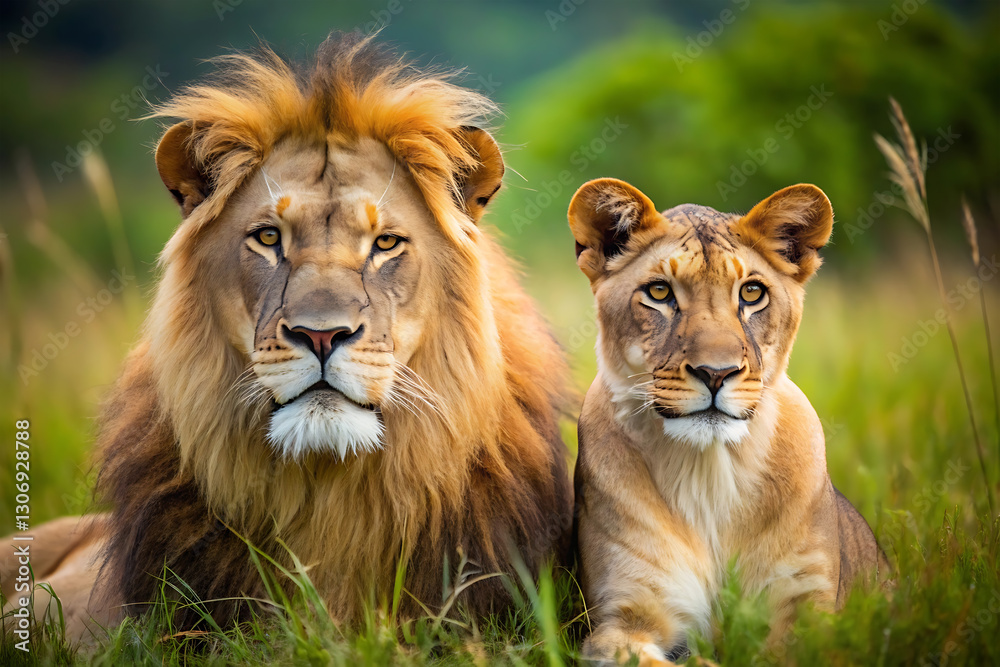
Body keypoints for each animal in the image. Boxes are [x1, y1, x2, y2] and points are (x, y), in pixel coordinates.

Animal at [567, 178, 888, 664]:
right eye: (659, 293)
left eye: (752, 294)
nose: (715, 373)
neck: (710, 473)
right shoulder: (622, 615)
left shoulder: (809, 614)